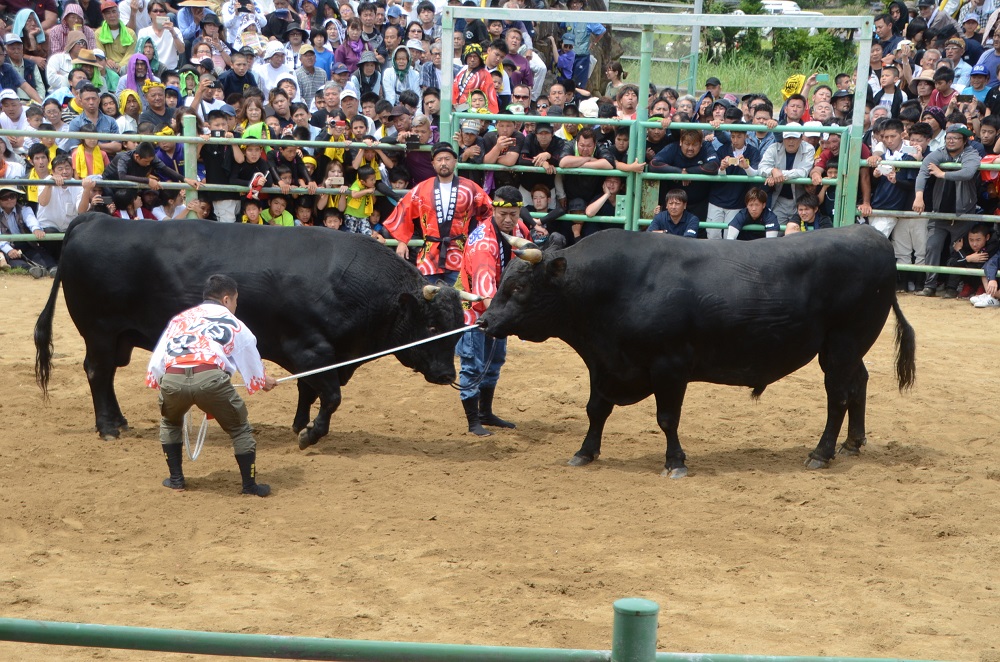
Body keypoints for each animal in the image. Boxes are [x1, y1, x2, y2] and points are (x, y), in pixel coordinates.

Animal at [34, 215, 464, 448]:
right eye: (430, 325)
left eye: (458, 331)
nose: (448, 375)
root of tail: (95, 219)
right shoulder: (312, 350)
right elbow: (330, 396)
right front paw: (311, 434)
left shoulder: (318, 356)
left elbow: (308, 391)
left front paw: (299, 425)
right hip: (100, 333)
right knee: (98, 373)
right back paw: (108, 427)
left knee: (105, 377)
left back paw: (119, 421)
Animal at [480, 226, 916, 480]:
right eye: (503, 280)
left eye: (519, 288)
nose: (484, 321)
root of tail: (871, 235)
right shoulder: (604, 365)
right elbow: (596, 410)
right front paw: (585, 452)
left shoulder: (670, 366)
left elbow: (667, 418)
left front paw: (675, 462)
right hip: (850, 347)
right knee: (859, 383)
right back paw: (852, 444)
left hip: (841, 345)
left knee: (838, 395)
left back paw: (821, 454)